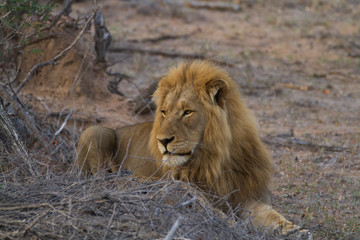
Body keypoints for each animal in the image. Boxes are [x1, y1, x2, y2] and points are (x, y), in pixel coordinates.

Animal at [76, 60, 312, 238]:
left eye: (187, 112)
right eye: (163, 112)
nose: (162, 140)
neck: (217, 159)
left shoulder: (248, 195)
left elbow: (272, 215)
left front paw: (295, 230)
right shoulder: (186, 189)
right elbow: (211, 209)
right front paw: (229, 225)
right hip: (95, 132)